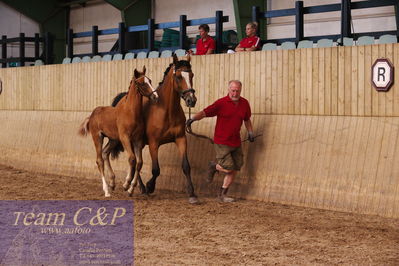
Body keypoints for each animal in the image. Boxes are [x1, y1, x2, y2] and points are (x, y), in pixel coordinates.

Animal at [78, 65, 159, 196]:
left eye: (150, 81)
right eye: (142, 83)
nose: (155, 96)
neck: (131, 112)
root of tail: (92, 114)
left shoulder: (137, 140)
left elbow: (139, 162)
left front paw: (131, 189)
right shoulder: (125, 138)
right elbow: (132, 159)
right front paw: (126, 185)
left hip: (113, 139)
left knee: (105, 153)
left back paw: (112, 183)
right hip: (98, 137)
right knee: (99, 160)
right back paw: (106, 190)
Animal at [110, 54, 199, 204]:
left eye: (191, 75)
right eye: (179, 76)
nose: (191, 100)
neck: (167, 111)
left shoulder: (181, 139)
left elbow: (186, 166)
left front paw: (192, 193)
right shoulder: (153, 143)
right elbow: (156, 170)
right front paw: (149, 186)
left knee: (136, 162)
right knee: (135, 161)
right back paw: (140, 187)